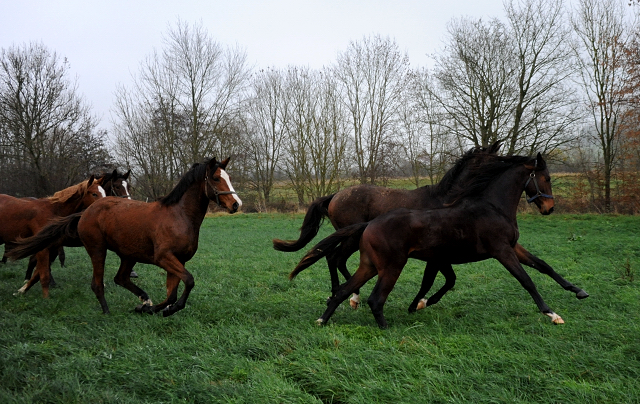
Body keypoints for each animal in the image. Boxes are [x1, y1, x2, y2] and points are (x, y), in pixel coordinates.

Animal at [7, 157, 242, 316]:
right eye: (216, 178)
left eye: (229, 178)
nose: (236, 204)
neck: (179, 215)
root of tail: (87, 211)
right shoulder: (164, 258)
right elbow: (187, 283)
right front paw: (162, 310)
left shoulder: (178, 261)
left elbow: (172, 292)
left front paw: (151, 308)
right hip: (98, 250)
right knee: (97, 283)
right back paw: (106, 311)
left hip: (129, 255)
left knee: (120, 278)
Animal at [272, 142, 588, 310]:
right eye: (546, 178)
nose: (549, 208)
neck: (449, 198)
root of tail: (336, 194)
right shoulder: (439, 255)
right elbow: (440, 280)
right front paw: (421, 303)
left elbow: (542, 265)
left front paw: (577, 290)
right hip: (351, 237)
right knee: (335, 258)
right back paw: (352, 296)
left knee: (332, 258)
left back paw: (343, 294)